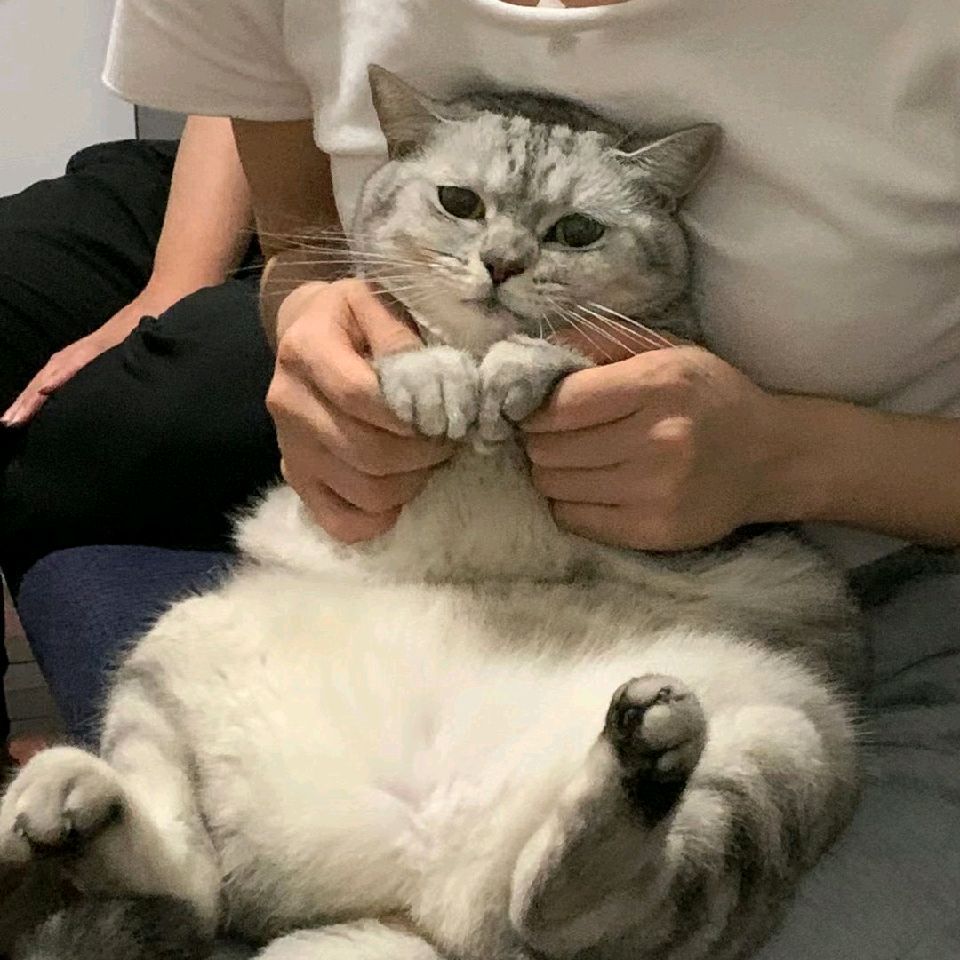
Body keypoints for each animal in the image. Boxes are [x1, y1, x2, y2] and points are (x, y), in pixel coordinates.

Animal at [1, 67, 864, 960]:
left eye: (577, 230)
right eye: (460, 201)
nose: (502, 263)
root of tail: (417, 884)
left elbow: (581, 346)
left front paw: (518, 366)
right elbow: (406, 340)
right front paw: (436, 378)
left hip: (784, 744)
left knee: (575, 912)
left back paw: (637, 758)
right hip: (168, 655)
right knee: (191, 886)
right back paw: (60, 797)